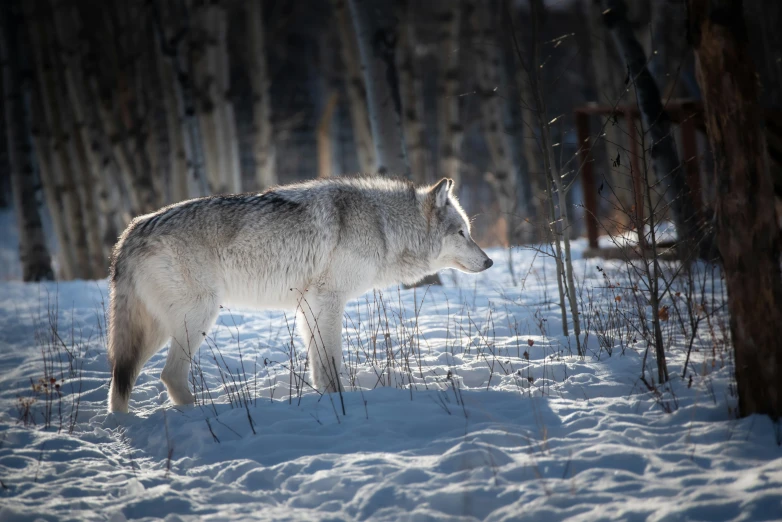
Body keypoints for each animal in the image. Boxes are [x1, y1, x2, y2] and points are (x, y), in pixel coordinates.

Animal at [107, 175, 494, 410]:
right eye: (462, 233)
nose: (489, 261)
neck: (384, 227)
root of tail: (130, 232)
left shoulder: (309, 306)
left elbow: (318, 365)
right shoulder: (329, 301)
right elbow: (332, 362)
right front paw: (341, 402)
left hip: (157, 330)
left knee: (122, 377)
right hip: (198, 317)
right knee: (168, 375)